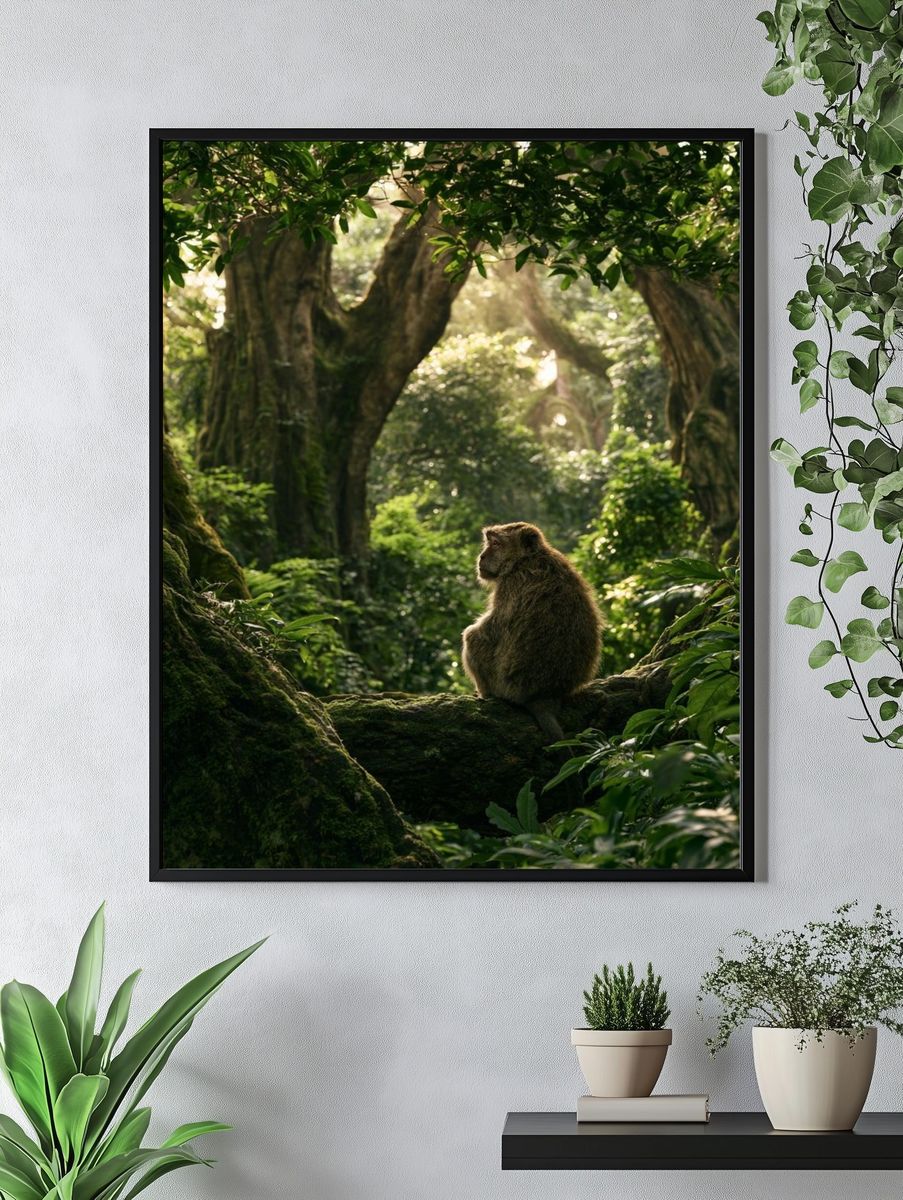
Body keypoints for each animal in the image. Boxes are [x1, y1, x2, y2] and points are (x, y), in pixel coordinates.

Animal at [461, 522, 603, 741]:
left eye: (496, 543)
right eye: (489, 542)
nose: (482, 557)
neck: (526, 559)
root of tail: (544, 695)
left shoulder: (510, 584)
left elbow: (482, 632)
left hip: (504, 686)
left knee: (473, 639)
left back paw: (485, 694)